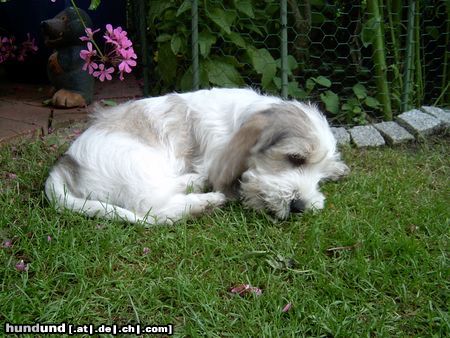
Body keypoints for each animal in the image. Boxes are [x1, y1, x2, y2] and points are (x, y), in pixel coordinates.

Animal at [44, 87, 348, 224]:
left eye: (320, 177)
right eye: (295, 158)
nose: (299, 207)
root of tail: (64, 166)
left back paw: (195, 183)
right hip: (137, 166)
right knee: (156, 210)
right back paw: (206, 201)